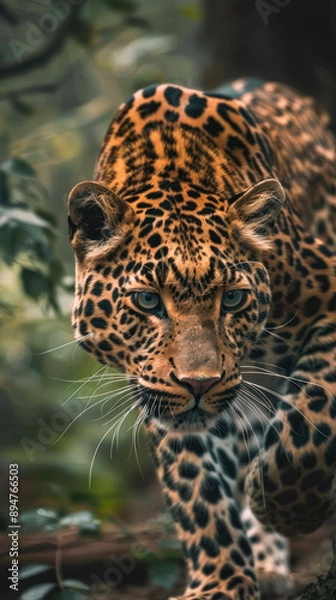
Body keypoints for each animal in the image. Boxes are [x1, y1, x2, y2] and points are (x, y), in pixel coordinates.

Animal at [67, 81, 336, 600]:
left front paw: (285, 508)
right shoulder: (159, 394)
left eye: (232, 298)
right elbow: (197, 489)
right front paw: (221, 582)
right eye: (148, 301)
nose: (199, 383)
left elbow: (312, 418)